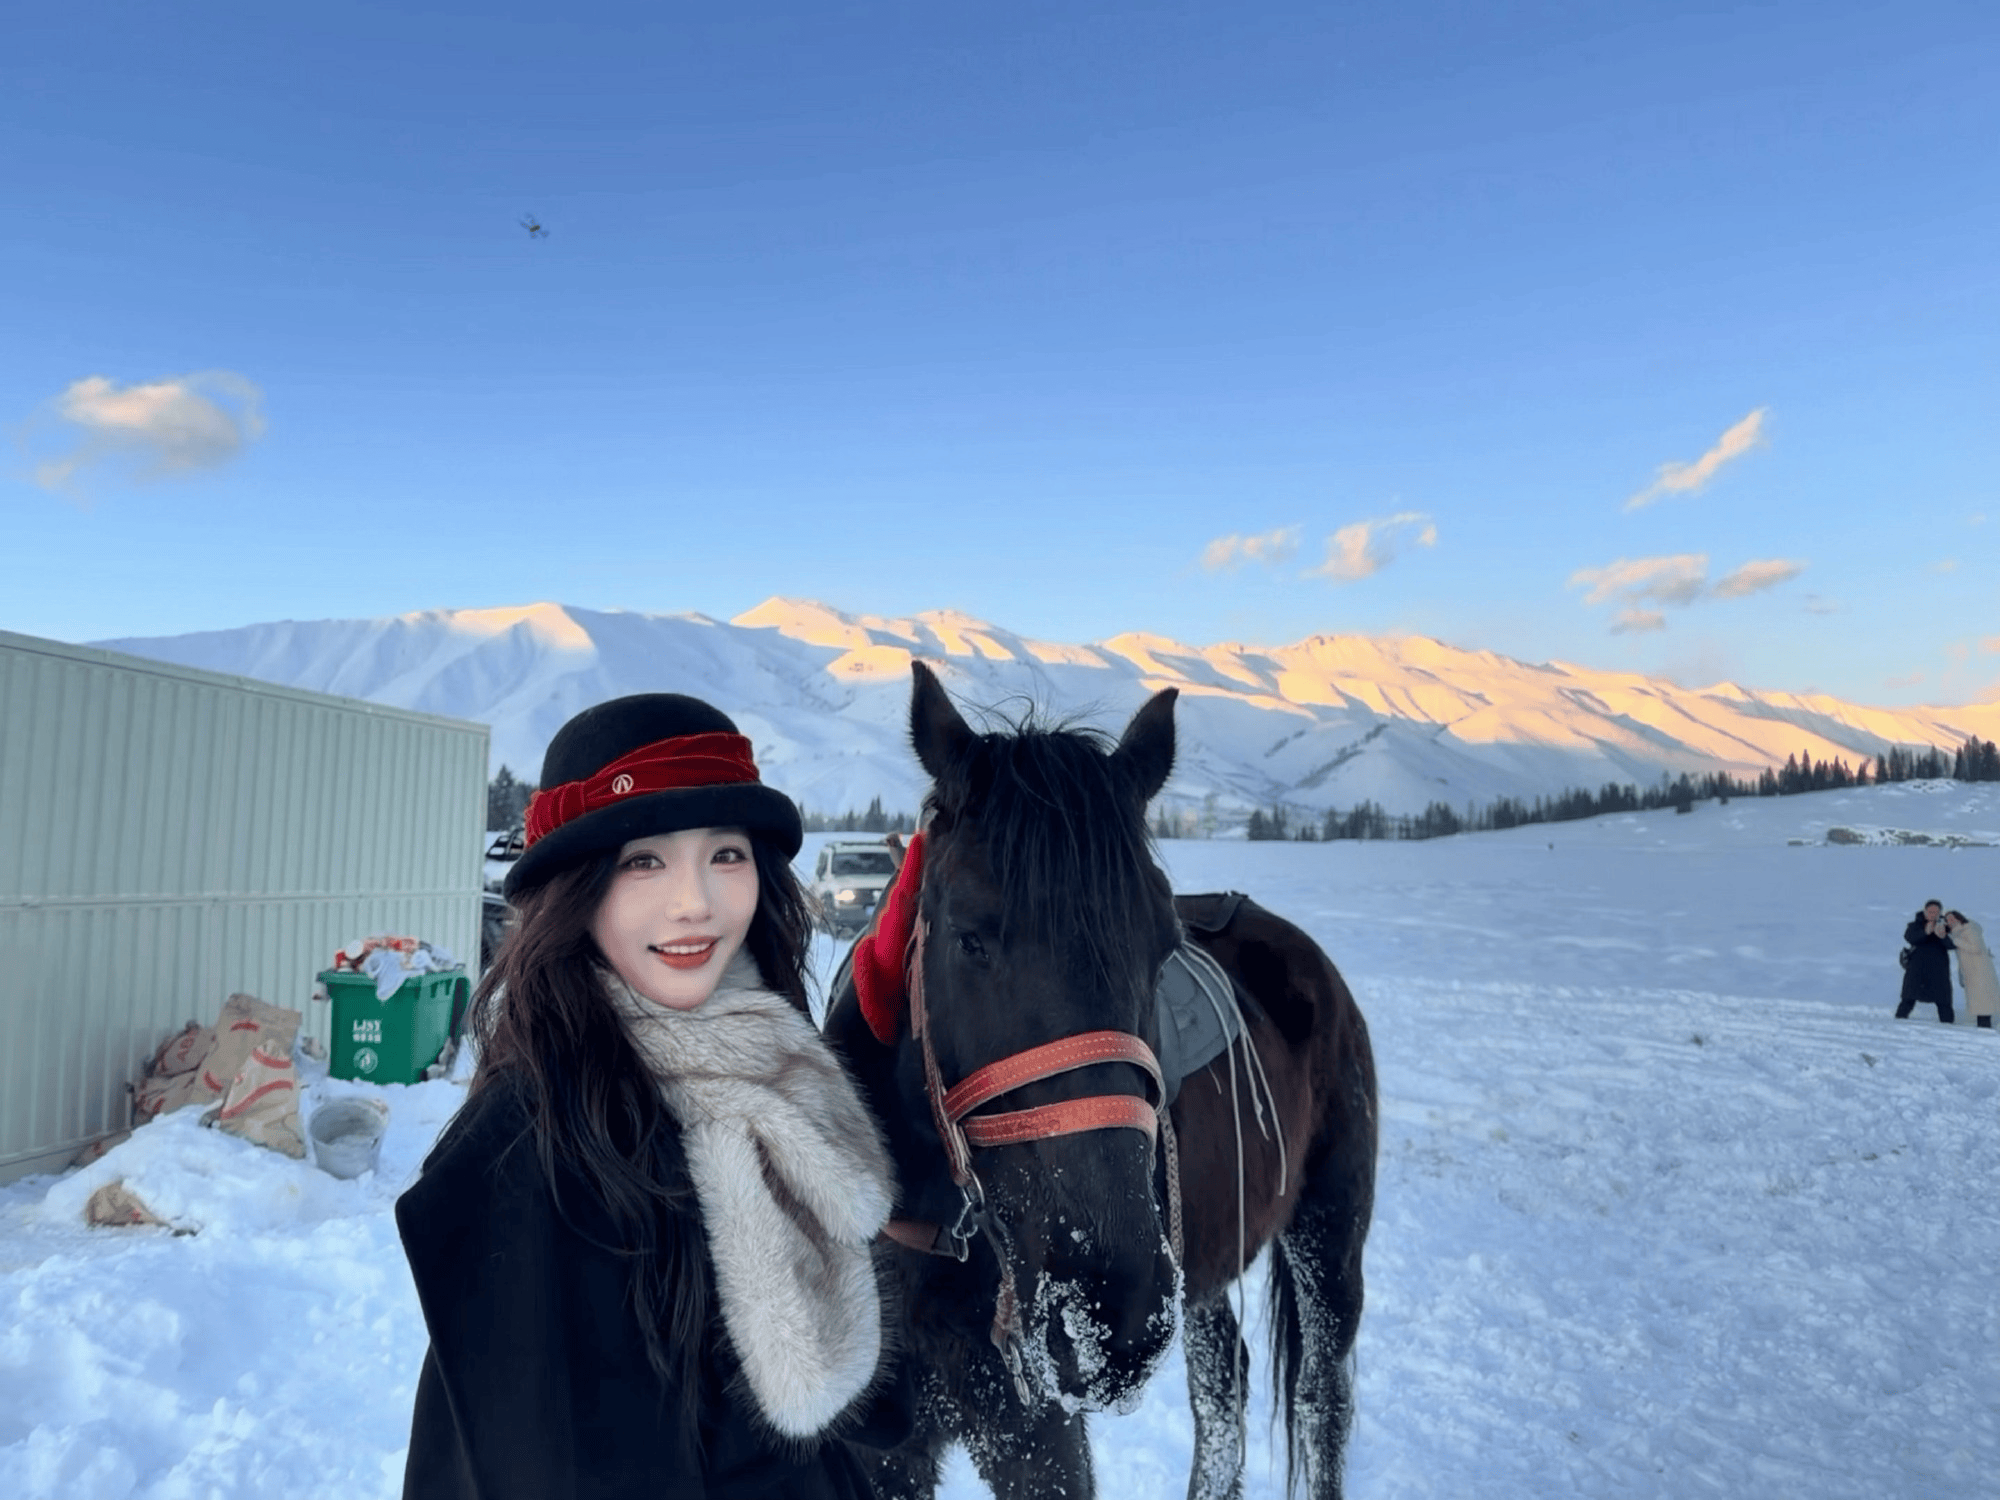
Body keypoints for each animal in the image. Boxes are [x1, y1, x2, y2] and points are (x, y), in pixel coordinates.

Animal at [821, 662, 1378, 1500]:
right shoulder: (883, 1451)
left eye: (1164, 944)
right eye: (970, 936)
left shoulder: (1038, 1439)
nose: (1109, 1315)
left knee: (1321, 1399)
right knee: (1223, 1389)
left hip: (1326, 1235)